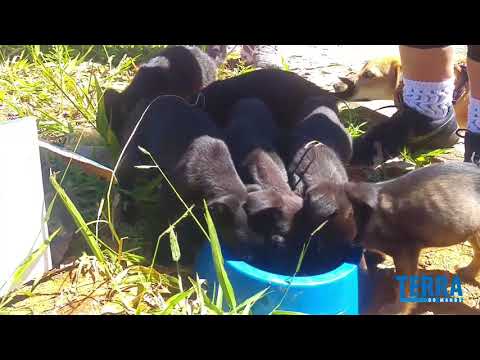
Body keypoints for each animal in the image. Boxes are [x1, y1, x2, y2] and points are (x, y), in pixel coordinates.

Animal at [114, 97, 264, 262]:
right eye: (234, 233)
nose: (250, 256)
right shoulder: (170, 196)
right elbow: (163, 224)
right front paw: (160, 255)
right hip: (136, 155)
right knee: (124, 178)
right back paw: (128, 213)